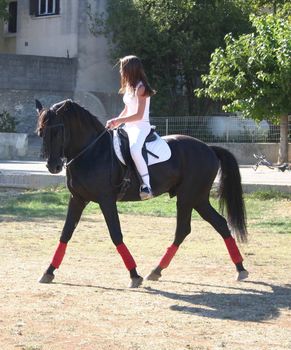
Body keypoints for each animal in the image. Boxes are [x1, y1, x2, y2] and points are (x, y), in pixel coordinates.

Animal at [36, 98, 250, 288]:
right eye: (41, 132)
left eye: (57, 130)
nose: (53, 166)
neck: (91, 151)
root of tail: (209, 148)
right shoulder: (78, 199)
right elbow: (65, 233)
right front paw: (49, 271)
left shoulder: (106, 200)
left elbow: (116, 234)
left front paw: (134, 275)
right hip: (198, 199)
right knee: (217, 224)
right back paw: (237, 268)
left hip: (188, 198)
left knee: (185, 229)